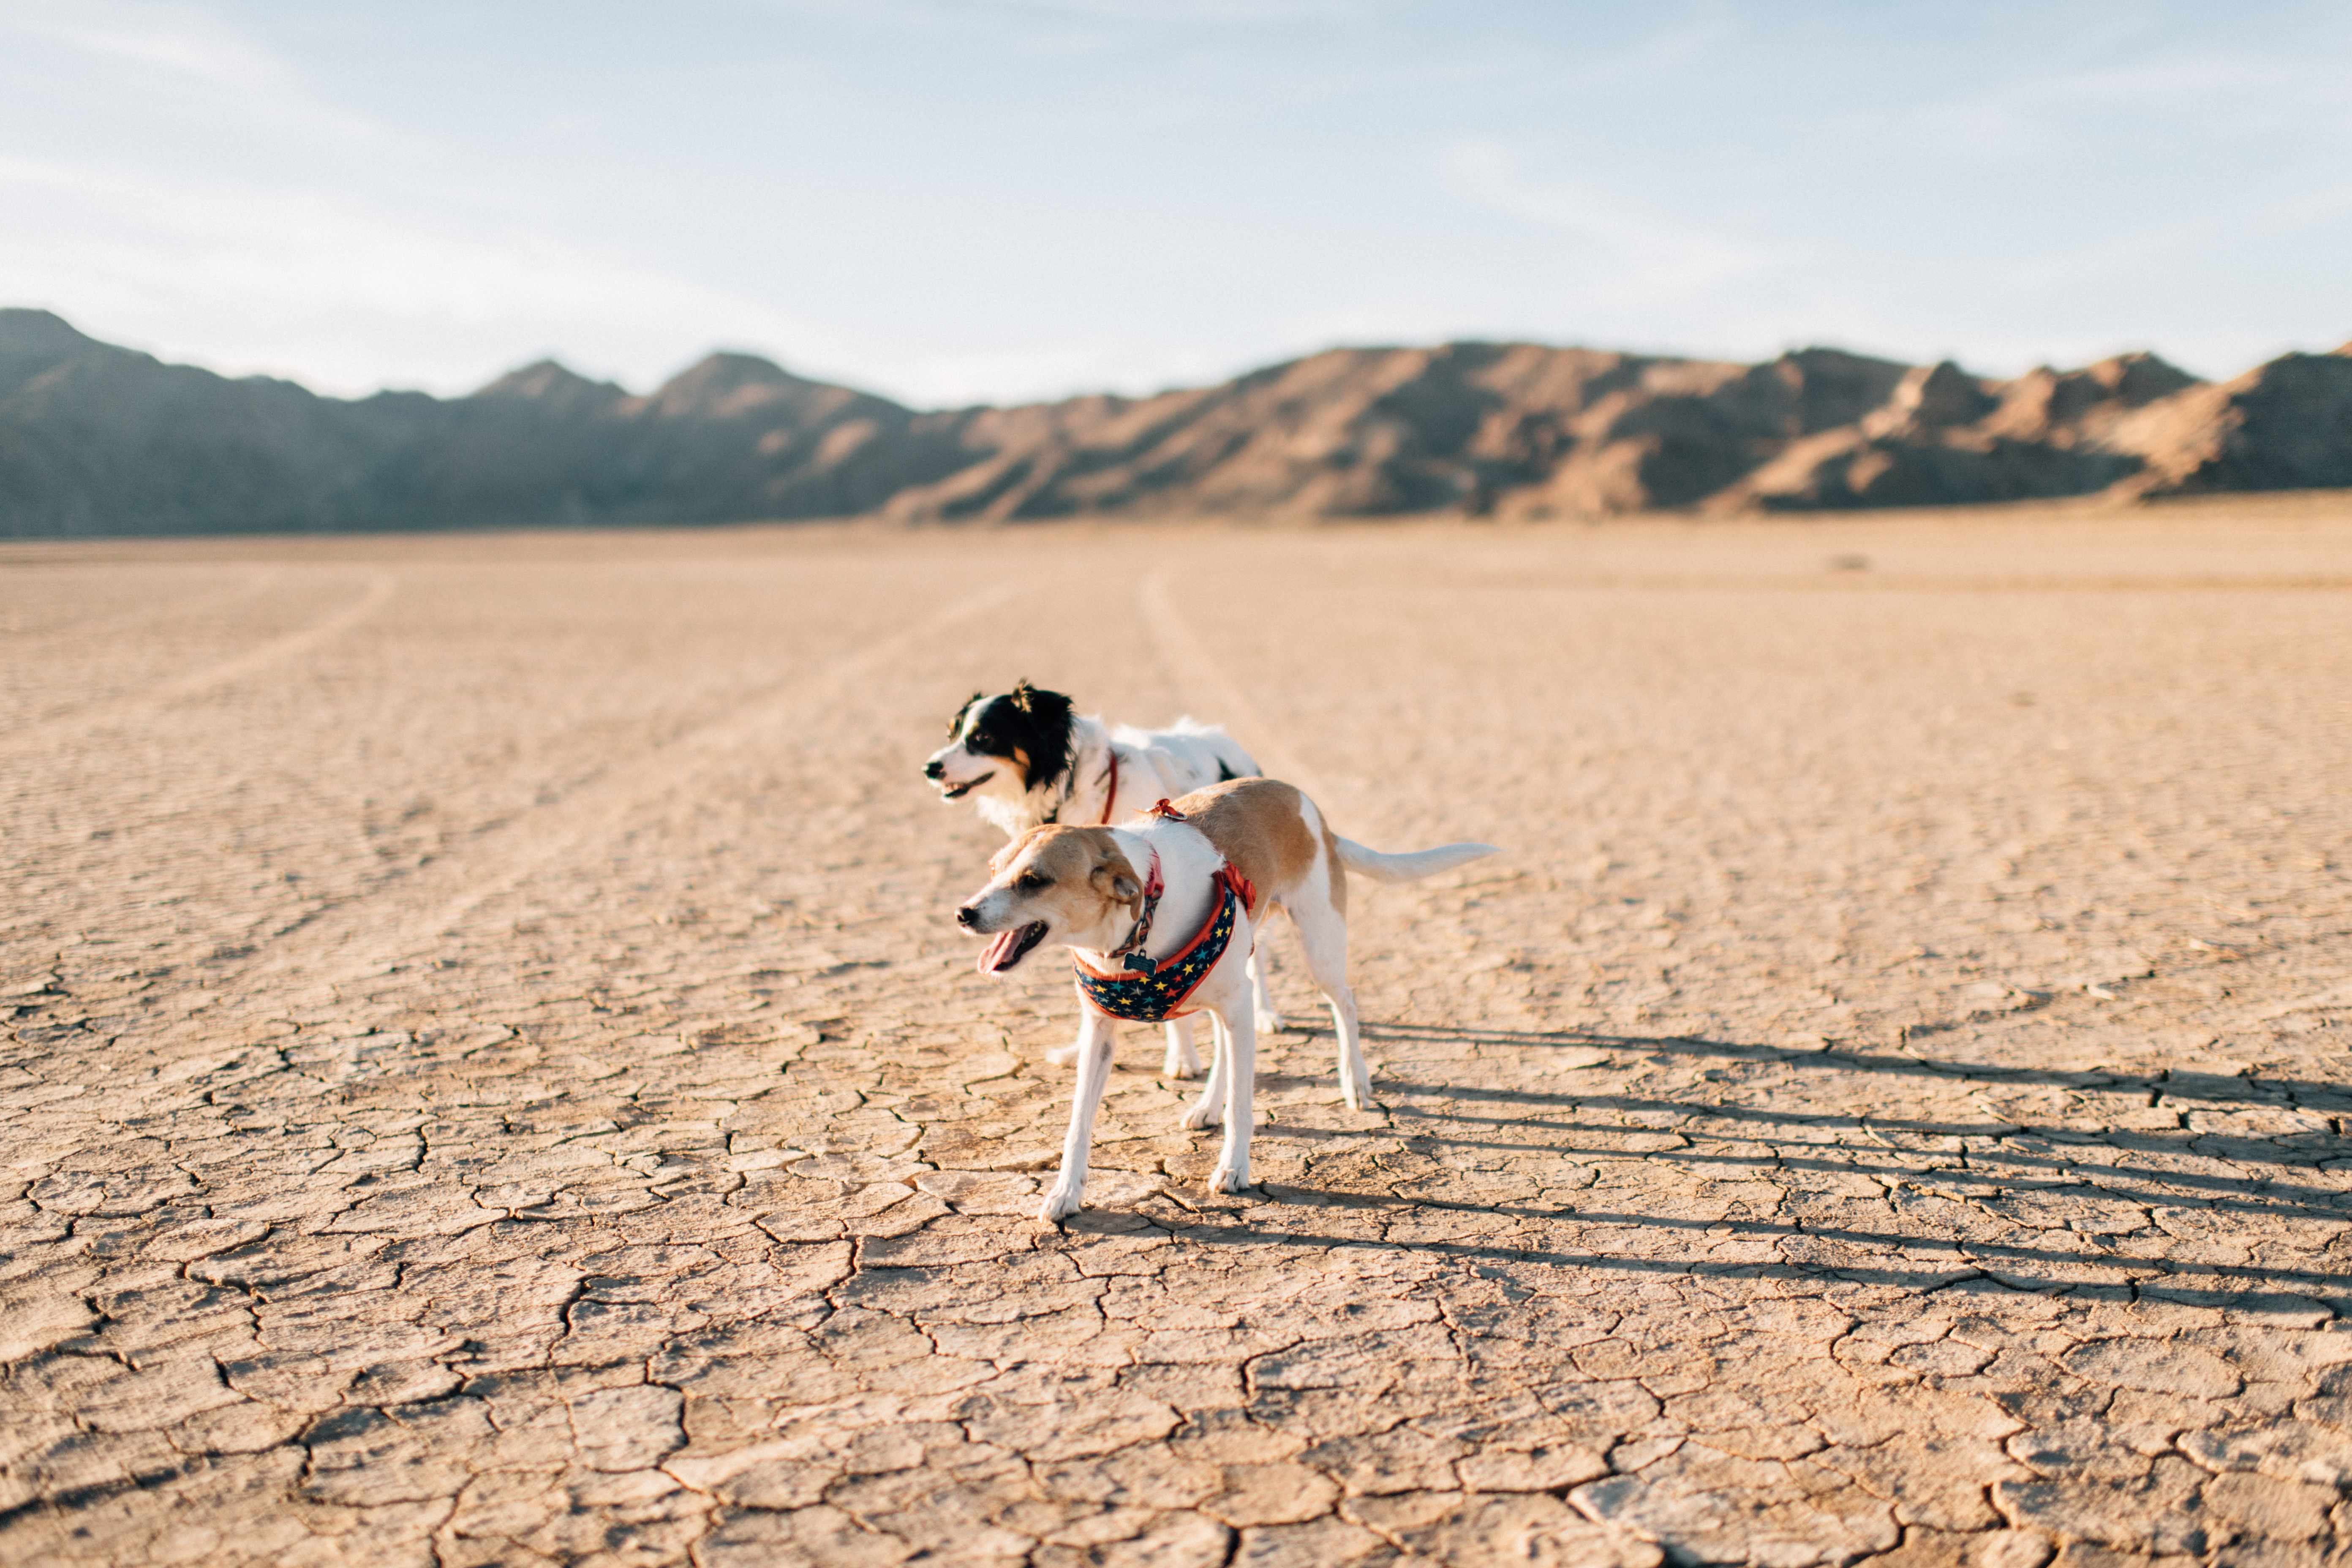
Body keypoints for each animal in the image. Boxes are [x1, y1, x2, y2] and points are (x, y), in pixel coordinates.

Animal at [950, 780, 1486, 1222]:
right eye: (994, 870)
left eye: (1034, 880)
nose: (964, 913)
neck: (1141, 918)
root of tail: (1303, 801)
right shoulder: (1102, 1032)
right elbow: (1079, 1123)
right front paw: (1065, 1193)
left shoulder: (1239, 1005)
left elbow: (1244, 1106)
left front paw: (1234, 1168)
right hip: (1230, 985)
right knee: (1228, 1043)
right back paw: (1208, 1105)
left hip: (1317, 950)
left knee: (1346, 1005)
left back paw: (1355, 1082)